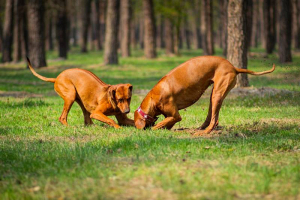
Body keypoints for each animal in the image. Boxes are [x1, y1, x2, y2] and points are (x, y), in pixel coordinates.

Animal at [135, 55, 276, 135]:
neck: (153, 97)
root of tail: (234, 67)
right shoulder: (169, 116)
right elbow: (165, 124)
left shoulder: (175, 115)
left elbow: (157, 126)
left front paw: (152, 129)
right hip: (215, 95)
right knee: (213, 117)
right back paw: (201, 128)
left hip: (217, 93)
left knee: (214, 120)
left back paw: (205, 132)